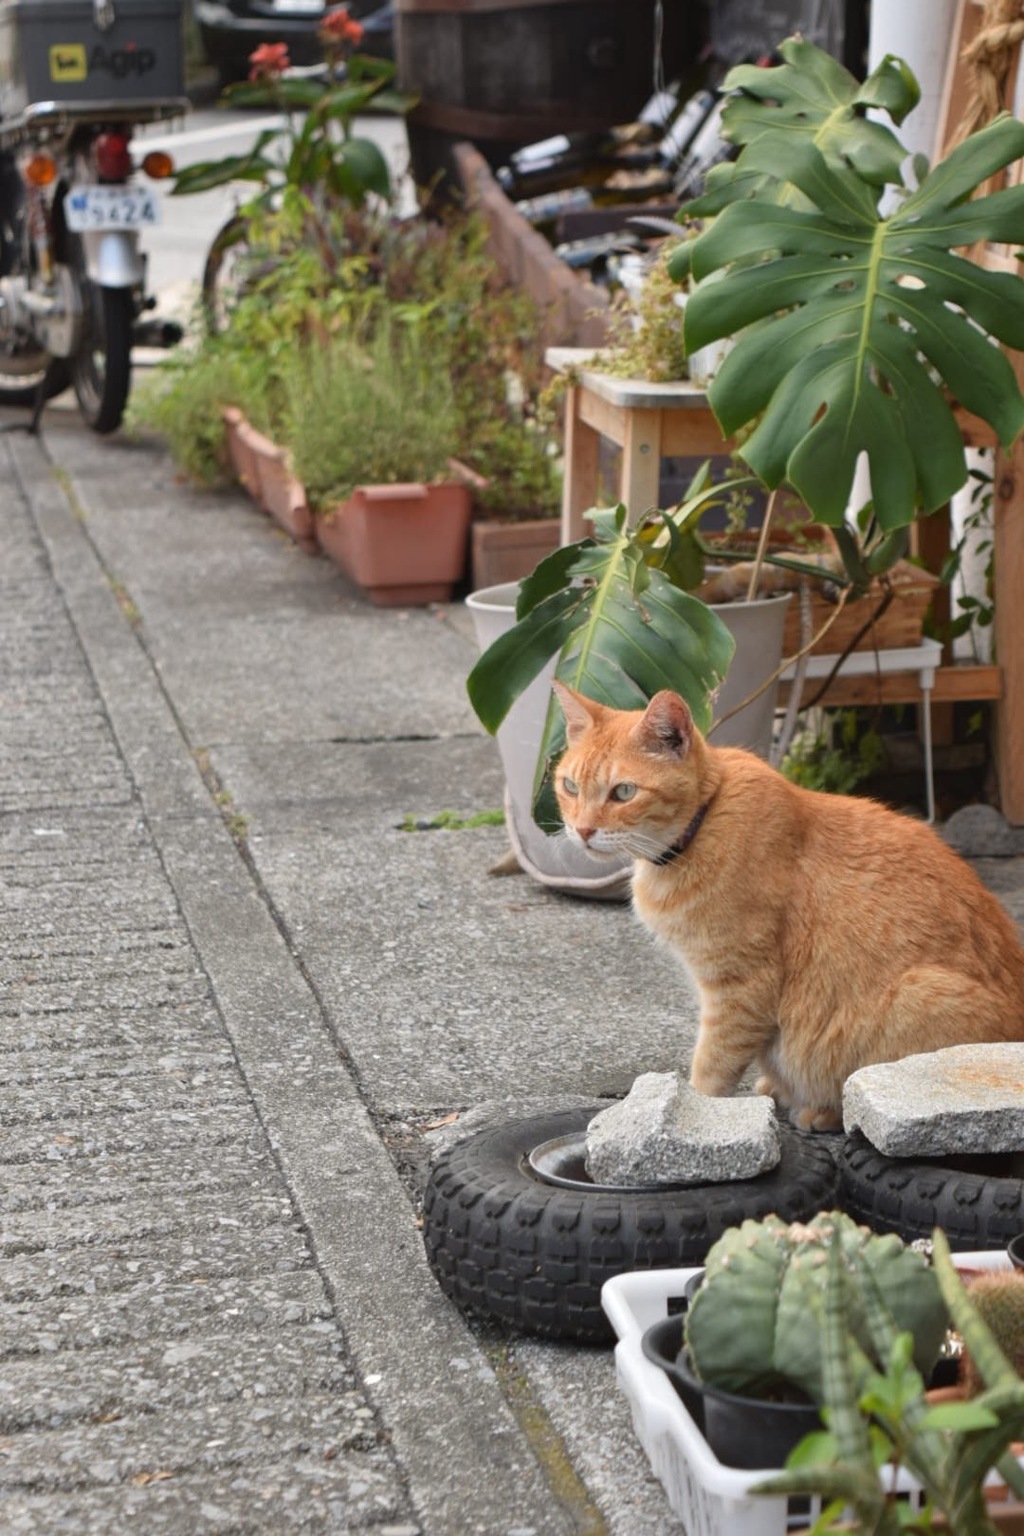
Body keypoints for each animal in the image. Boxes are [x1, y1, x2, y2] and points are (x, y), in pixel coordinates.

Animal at [555, 685, 1024, 1130]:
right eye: (570, 787)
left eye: (624, 792)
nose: (582, 830)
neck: (703, 825)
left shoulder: (741, 987)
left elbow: (712, 1065)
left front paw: (697, 1111)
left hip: (916, 999)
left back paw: (821, 1111)